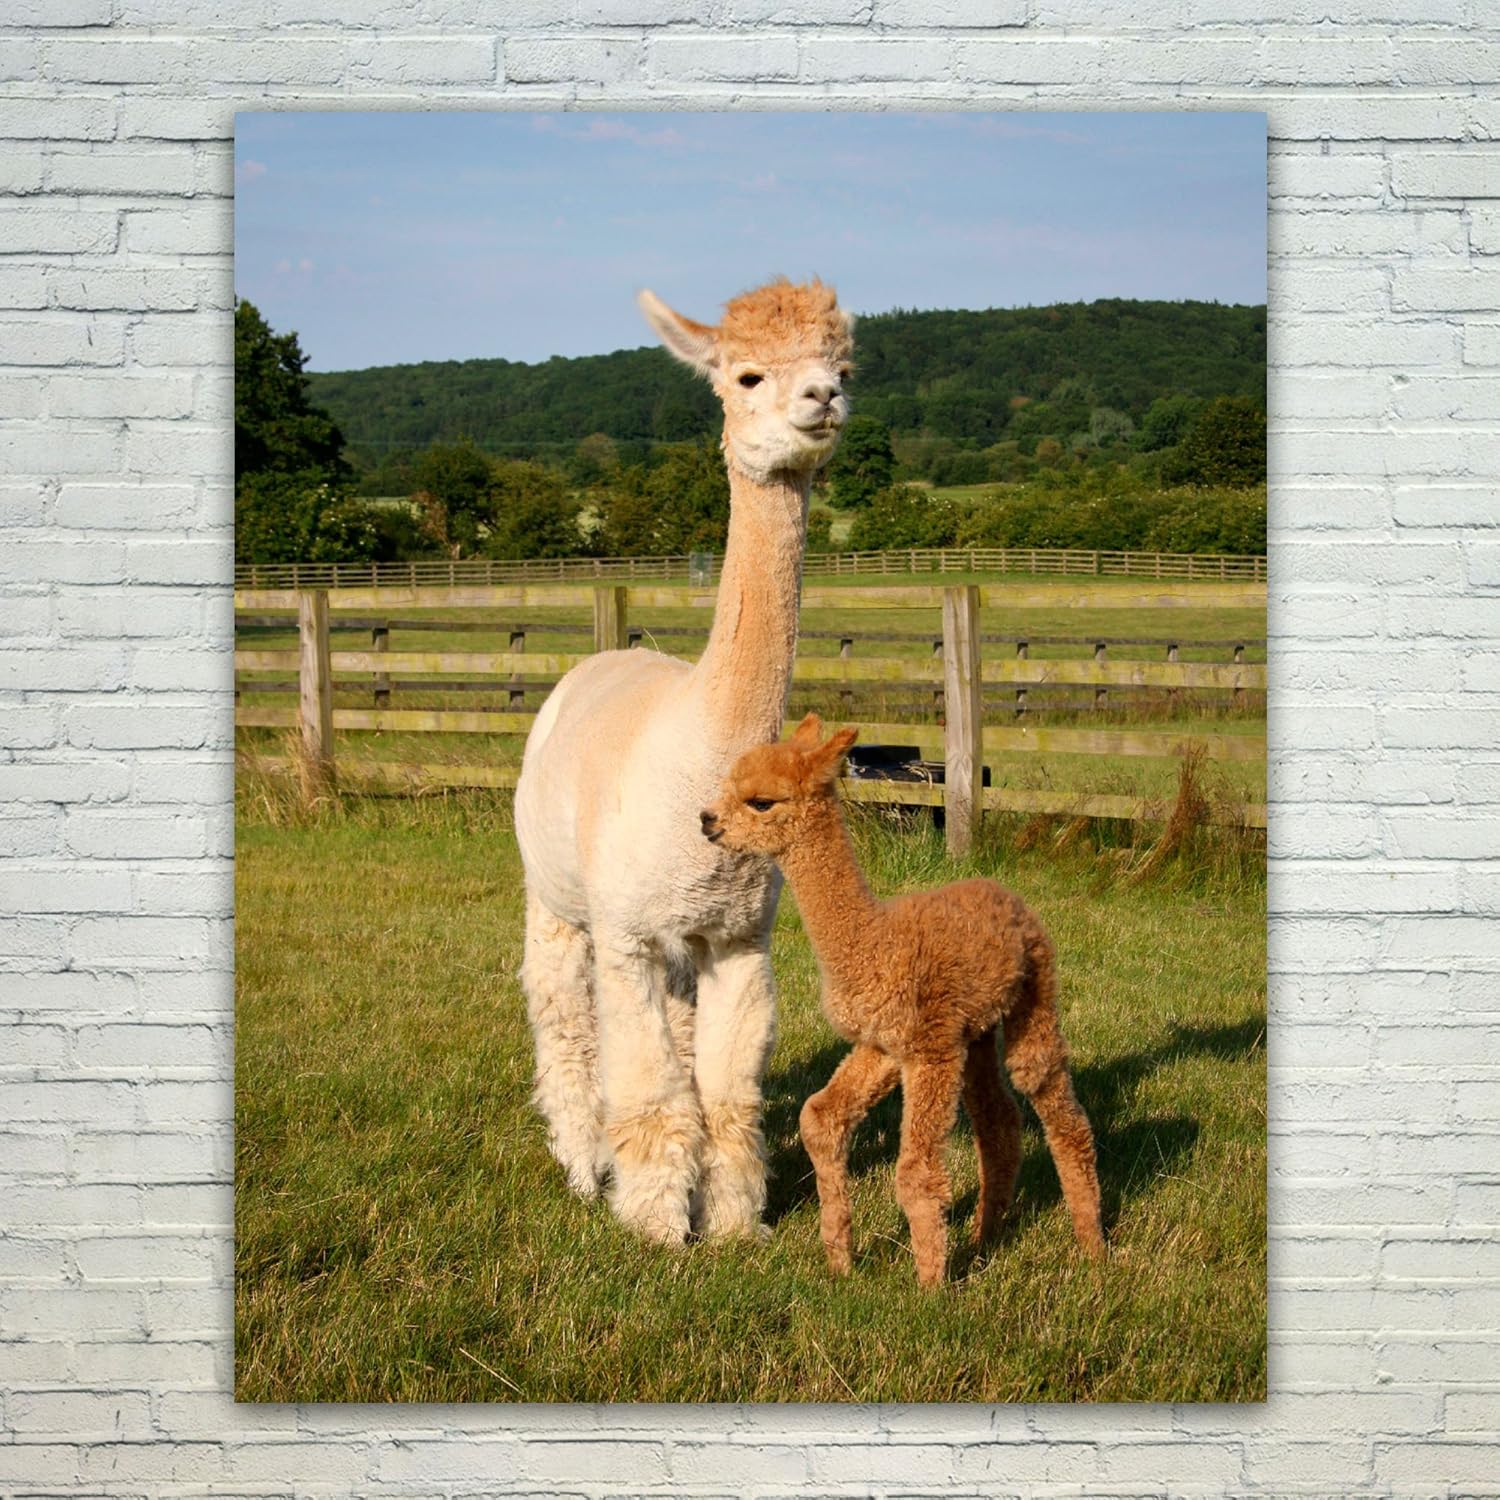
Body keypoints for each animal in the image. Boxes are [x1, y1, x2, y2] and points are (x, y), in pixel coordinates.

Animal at [514, 278, 854, 1244]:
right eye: (746, 375)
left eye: (843, 366)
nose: (822, 398)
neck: (699, 752)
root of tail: (607, 657)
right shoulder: (624, 933)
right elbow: (649, 1090)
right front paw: (657, 1233)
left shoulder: (739, 936)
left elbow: (727, 1092)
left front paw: (736, 1228)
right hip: (557, 897)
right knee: (563, 1021)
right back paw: (582, 1167)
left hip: (673, 932)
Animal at [701, 716, 1106, 1286]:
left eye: (760, 801)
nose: (707, 820)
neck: (872, 941)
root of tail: (1004, 891)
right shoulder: (883, 1044)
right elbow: (819, 1117)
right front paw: (840, 1260)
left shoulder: (926, 1050)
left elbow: (917, 1172)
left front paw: (930, 1287)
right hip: (976, 1032)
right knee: (999, 1122)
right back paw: (985, 1236)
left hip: (1036, 991)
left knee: (1054, 1104)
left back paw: (1093, 1247)